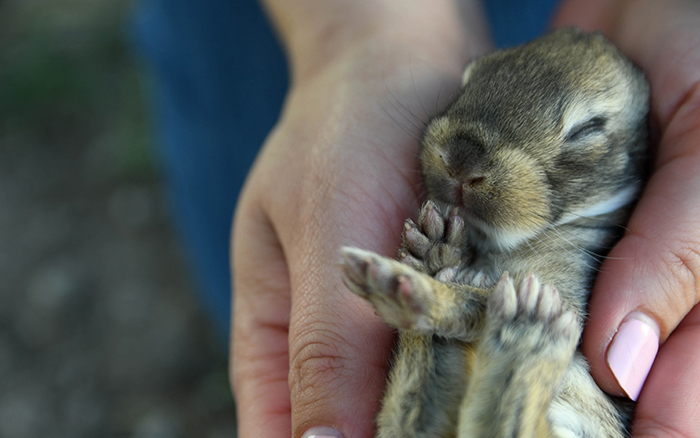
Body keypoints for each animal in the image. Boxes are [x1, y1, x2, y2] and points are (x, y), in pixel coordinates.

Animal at [340, 28, 652, 438]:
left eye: (588, 129)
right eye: (468, 80)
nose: (461, 160)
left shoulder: (565, 294)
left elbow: (474, 297)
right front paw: (433, 249)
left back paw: (527, 333)